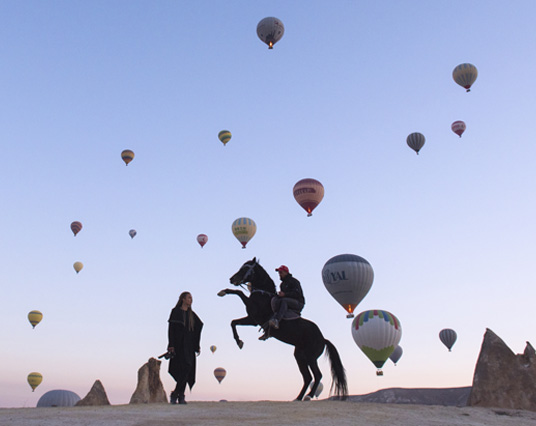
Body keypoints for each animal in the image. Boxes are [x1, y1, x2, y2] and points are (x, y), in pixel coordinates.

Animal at [218, 258, 348, 402]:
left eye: (245, 268)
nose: (232, 279)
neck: (263, 293)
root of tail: (323, 339)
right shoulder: (252, 319)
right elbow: (233, 322)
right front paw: (239, 341)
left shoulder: (254, 316)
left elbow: (240, 294)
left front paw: (223, 292)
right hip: (300, 356)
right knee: (307, 377)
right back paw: (298, 397)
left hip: (311, 357)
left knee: (317, 375)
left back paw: (308, 396)